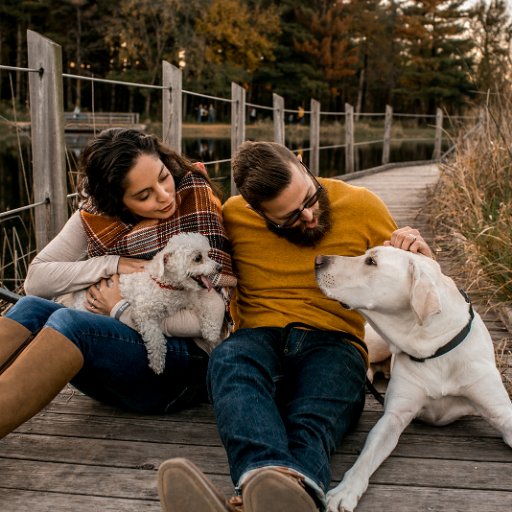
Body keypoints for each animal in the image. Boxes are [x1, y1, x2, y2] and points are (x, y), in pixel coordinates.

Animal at [71, 234, 225, 374]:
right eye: (198, 258)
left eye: (207, 254)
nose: (219, 268)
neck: (168, 287)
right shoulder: (144, 314)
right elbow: (156, 338)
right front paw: (157, 362)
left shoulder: (192, 300)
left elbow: (208, 306)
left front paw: (211, 331)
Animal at [314, 246, 510, 510]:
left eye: (371, 261)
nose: (318, 260)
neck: (432, 347)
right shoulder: (393, 416)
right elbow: (366, 456)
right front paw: (345, 491)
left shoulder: (502, 413)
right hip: (374, 342)